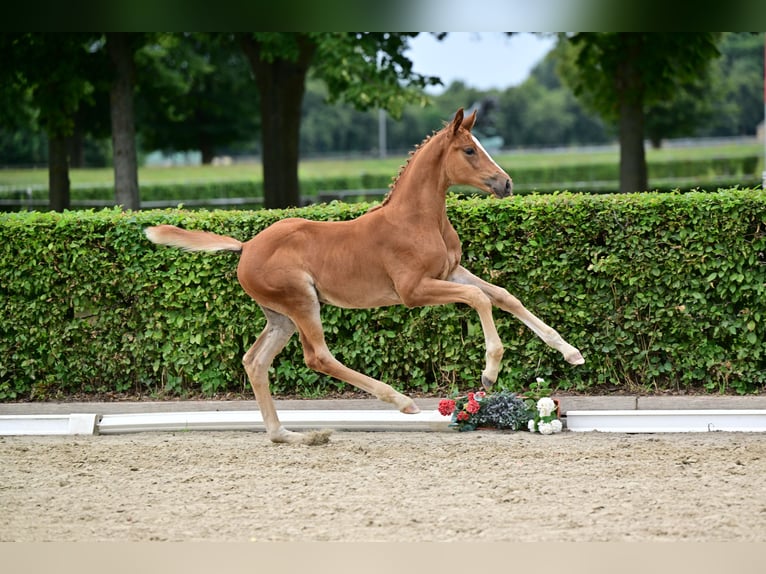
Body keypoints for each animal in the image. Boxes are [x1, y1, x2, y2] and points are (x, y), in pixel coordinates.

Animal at [145, 108, 584, 445]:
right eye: (469, 150)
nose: (506, 183)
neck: (416, 219)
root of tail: (246, 246)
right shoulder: (414, 291)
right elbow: (480, 300)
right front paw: (489, 374)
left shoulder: (451, 272)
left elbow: (504, 295)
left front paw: (571, 352)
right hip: (301, 302)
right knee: (317, 356)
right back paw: (401, 402)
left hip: (280, 316)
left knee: (255, 362)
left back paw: (288, 435)